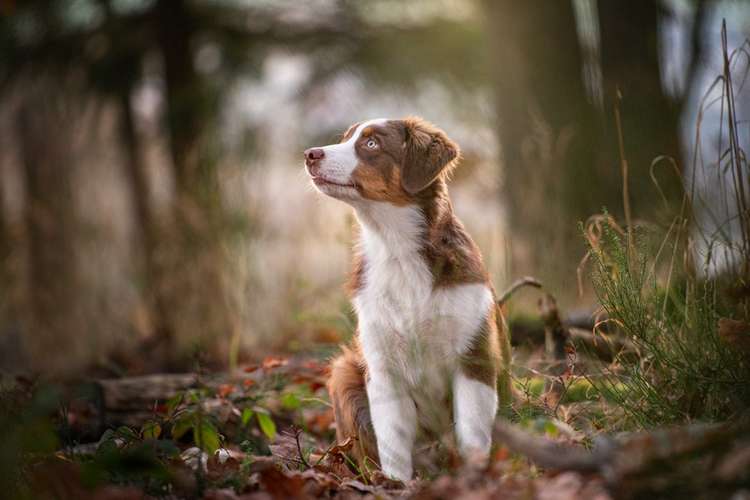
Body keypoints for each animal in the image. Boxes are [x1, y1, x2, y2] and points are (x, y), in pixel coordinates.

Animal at [304, 117, 512, 480]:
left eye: (371, 144)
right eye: (345, 138)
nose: (310, 154)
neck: (396, 249)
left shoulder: (475, 357)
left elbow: (473, 434)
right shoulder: (382, 368)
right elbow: (393, 442)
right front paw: (394, 485)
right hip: (344, 371)